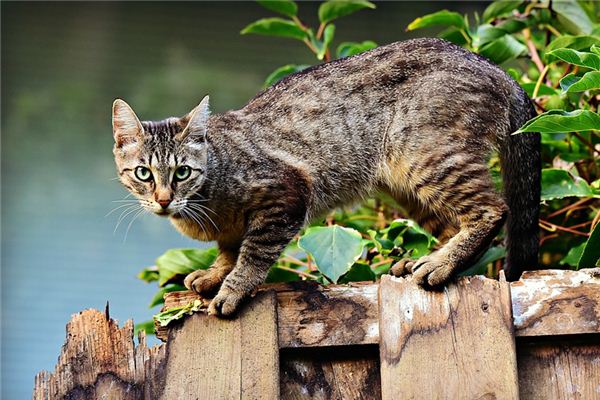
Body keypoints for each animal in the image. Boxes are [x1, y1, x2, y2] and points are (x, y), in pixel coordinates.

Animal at [111, 39, 540, 318]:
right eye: (143, 173)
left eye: (182, 172)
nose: (163, 199)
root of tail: (498, 69)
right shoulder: (232, 229)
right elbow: (229, 249)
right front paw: (216, 274)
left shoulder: (286, 194)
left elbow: (252, 254)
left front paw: (233, 287)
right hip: (405, 184)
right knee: (453, 223)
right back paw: (426, 260)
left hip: (426, 157)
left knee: (492, 210)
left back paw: (440, 264)